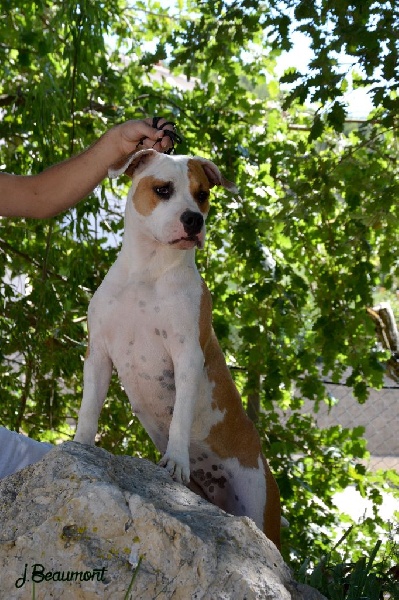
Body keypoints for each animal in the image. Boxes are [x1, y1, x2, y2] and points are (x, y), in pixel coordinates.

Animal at [75, 149, 282, 548]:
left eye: (202, 194)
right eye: (163, 189)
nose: (194, 219)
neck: (148, 272)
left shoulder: (186, 359)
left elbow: (180, 418)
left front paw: (176, 461)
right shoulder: (99, 355)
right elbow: (89, 409)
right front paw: (78, 445)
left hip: (260, 509)